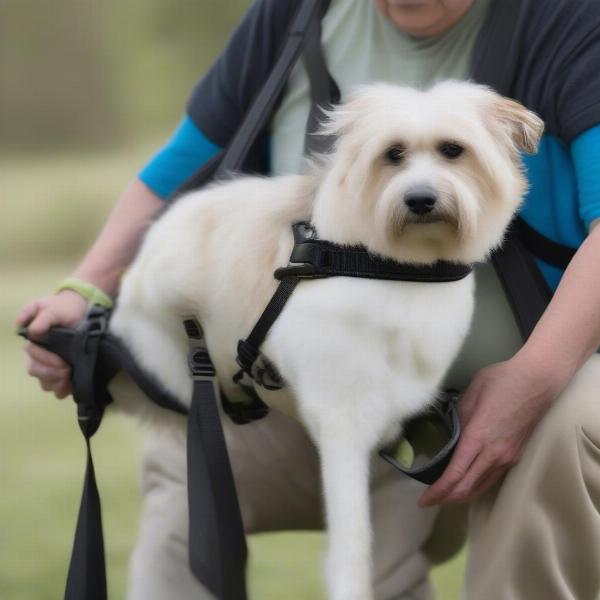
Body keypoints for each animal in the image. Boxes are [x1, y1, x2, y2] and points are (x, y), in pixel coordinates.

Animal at [109, 81, 544, 600]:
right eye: (393, 154)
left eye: (453, 150)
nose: (420, 199)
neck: (389, 267)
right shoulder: (341, 420)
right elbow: (351, 541)